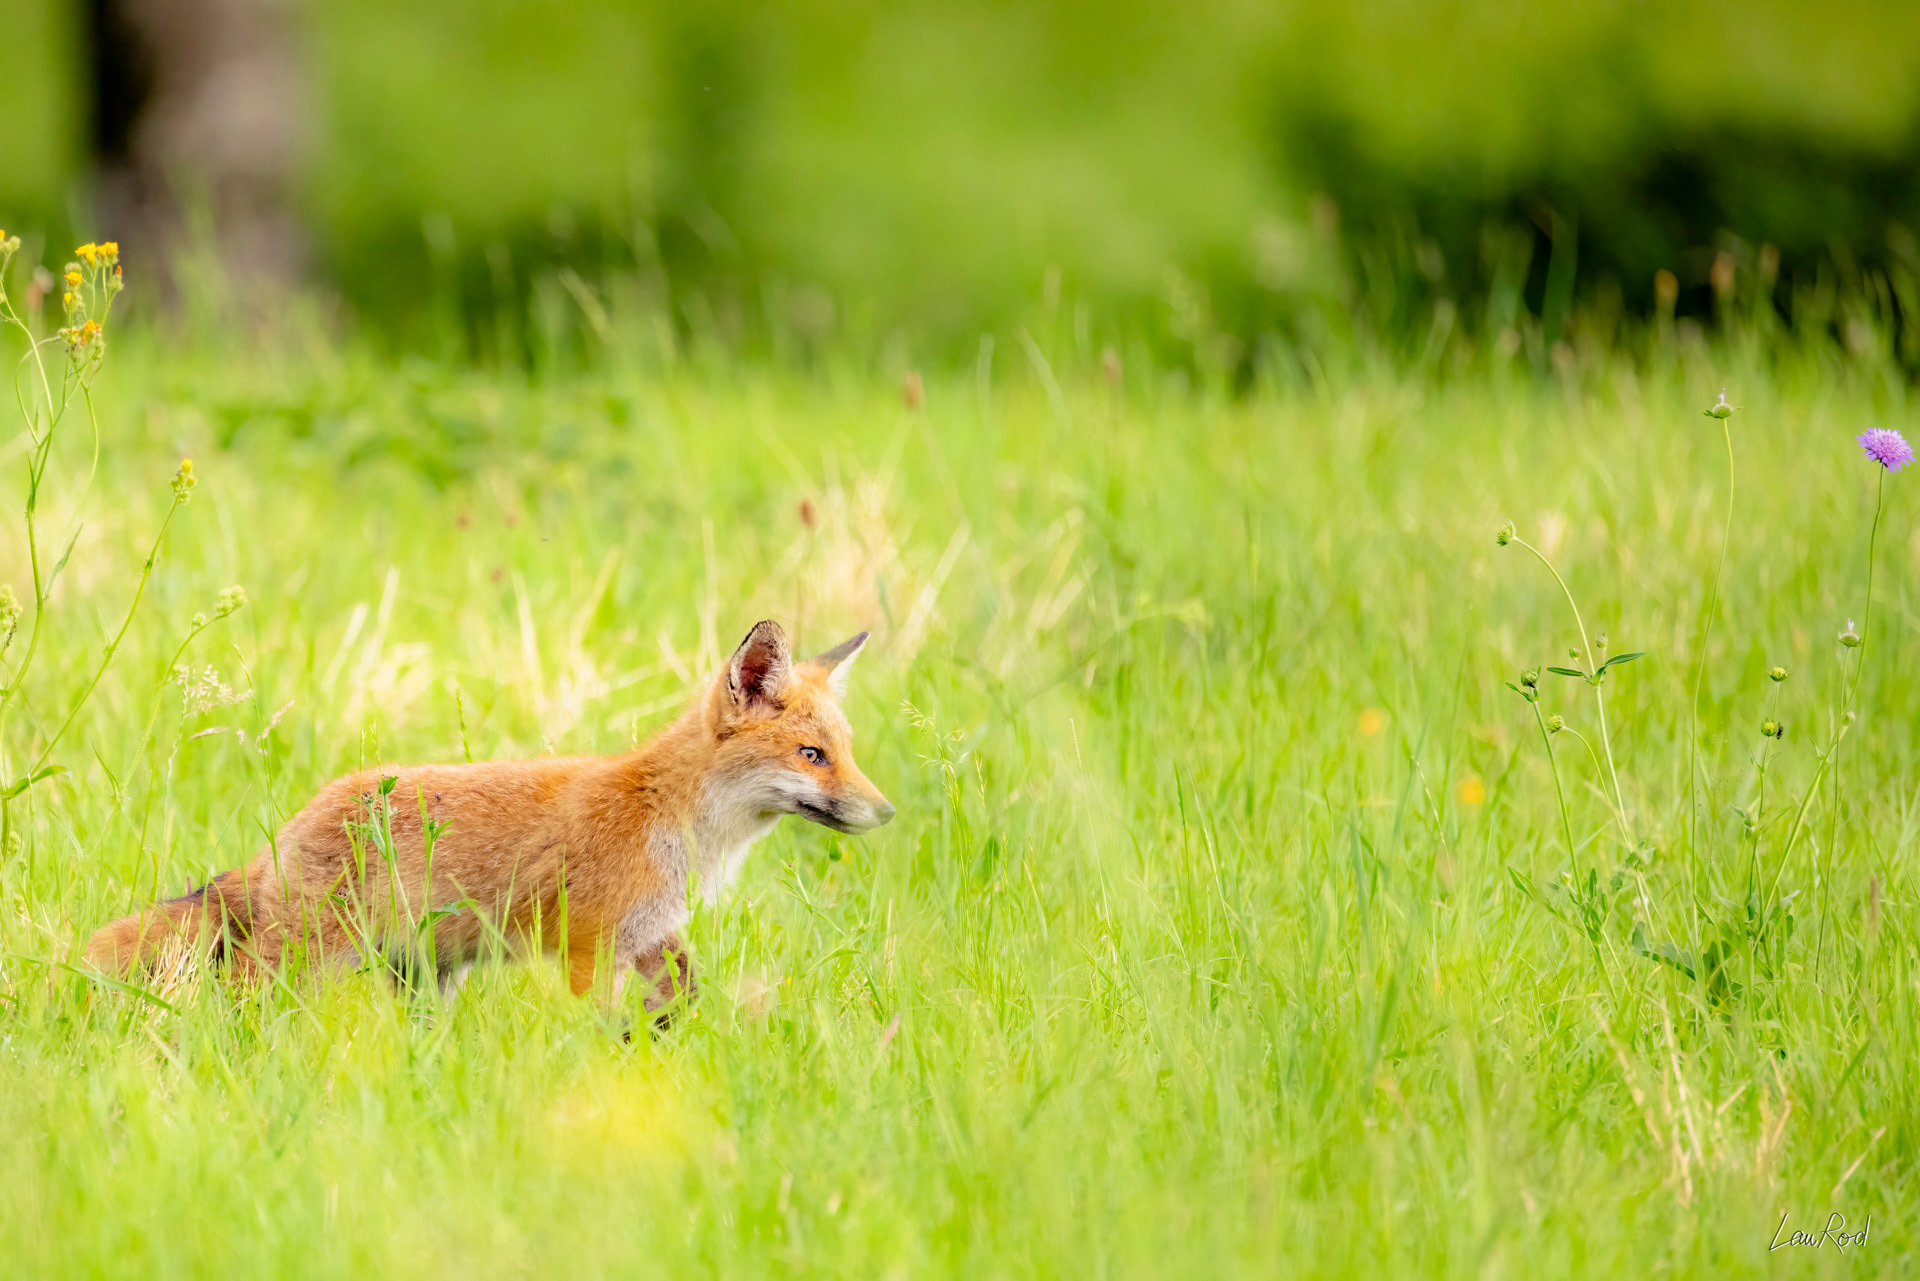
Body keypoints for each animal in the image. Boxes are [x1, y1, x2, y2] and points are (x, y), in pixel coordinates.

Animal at [83, 620, 893, 1016]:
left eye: (846, 752)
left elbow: (688, 1003)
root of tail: (295, 823)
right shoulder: (586, 950)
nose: (885, 811)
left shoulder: (650, 938)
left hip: (423, 977)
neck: (671, 822)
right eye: (813, 754)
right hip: (301, 961)